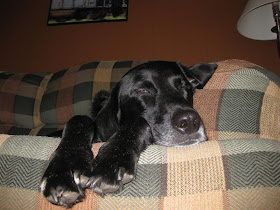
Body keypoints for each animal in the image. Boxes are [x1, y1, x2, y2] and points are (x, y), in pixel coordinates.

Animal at [40, 60, 218, 207]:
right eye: (142, 91)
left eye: (184, 86)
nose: (189, 121)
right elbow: (79, 118)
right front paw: (64, 170)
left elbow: (138, 122)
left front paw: (112, 161)